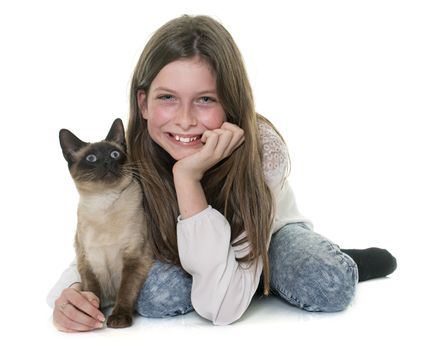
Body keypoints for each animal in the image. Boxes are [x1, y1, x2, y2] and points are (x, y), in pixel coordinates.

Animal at [58, 118, 153, 328]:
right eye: (92, 158)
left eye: (114, 154)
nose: (108, 161)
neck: (104, 204)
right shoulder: (88, 260)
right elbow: (90, 291)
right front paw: (91, 315)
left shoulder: (134, 258)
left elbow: (125, 292)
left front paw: (118, 320)